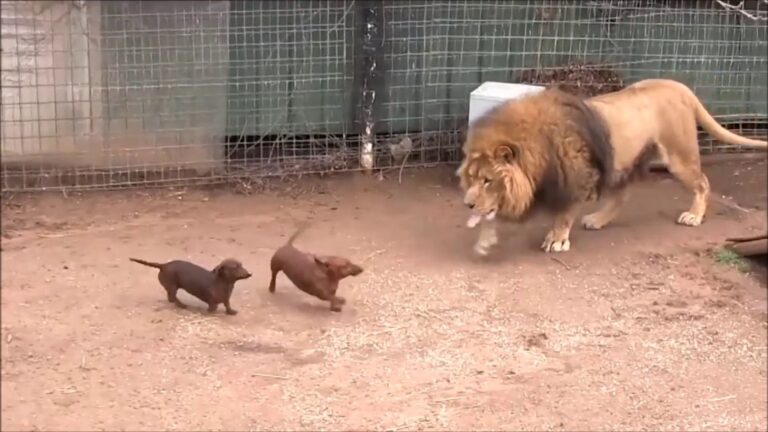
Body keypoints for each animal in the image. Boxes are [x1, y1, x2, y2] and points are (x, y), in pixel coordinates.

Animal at [460, 77, 764, 256]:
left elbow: (564, 214)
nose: (467, 204)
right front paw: (485, 238)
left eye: (488, 180)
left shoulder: (577, 178)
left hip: (678, 156)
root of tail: (678, 85)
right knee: (622, 196)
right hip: (626, 161)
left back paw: (694, 215)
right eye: (472, 179)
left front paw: (557, 239)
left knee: (702, 183)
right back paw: (597, 219)